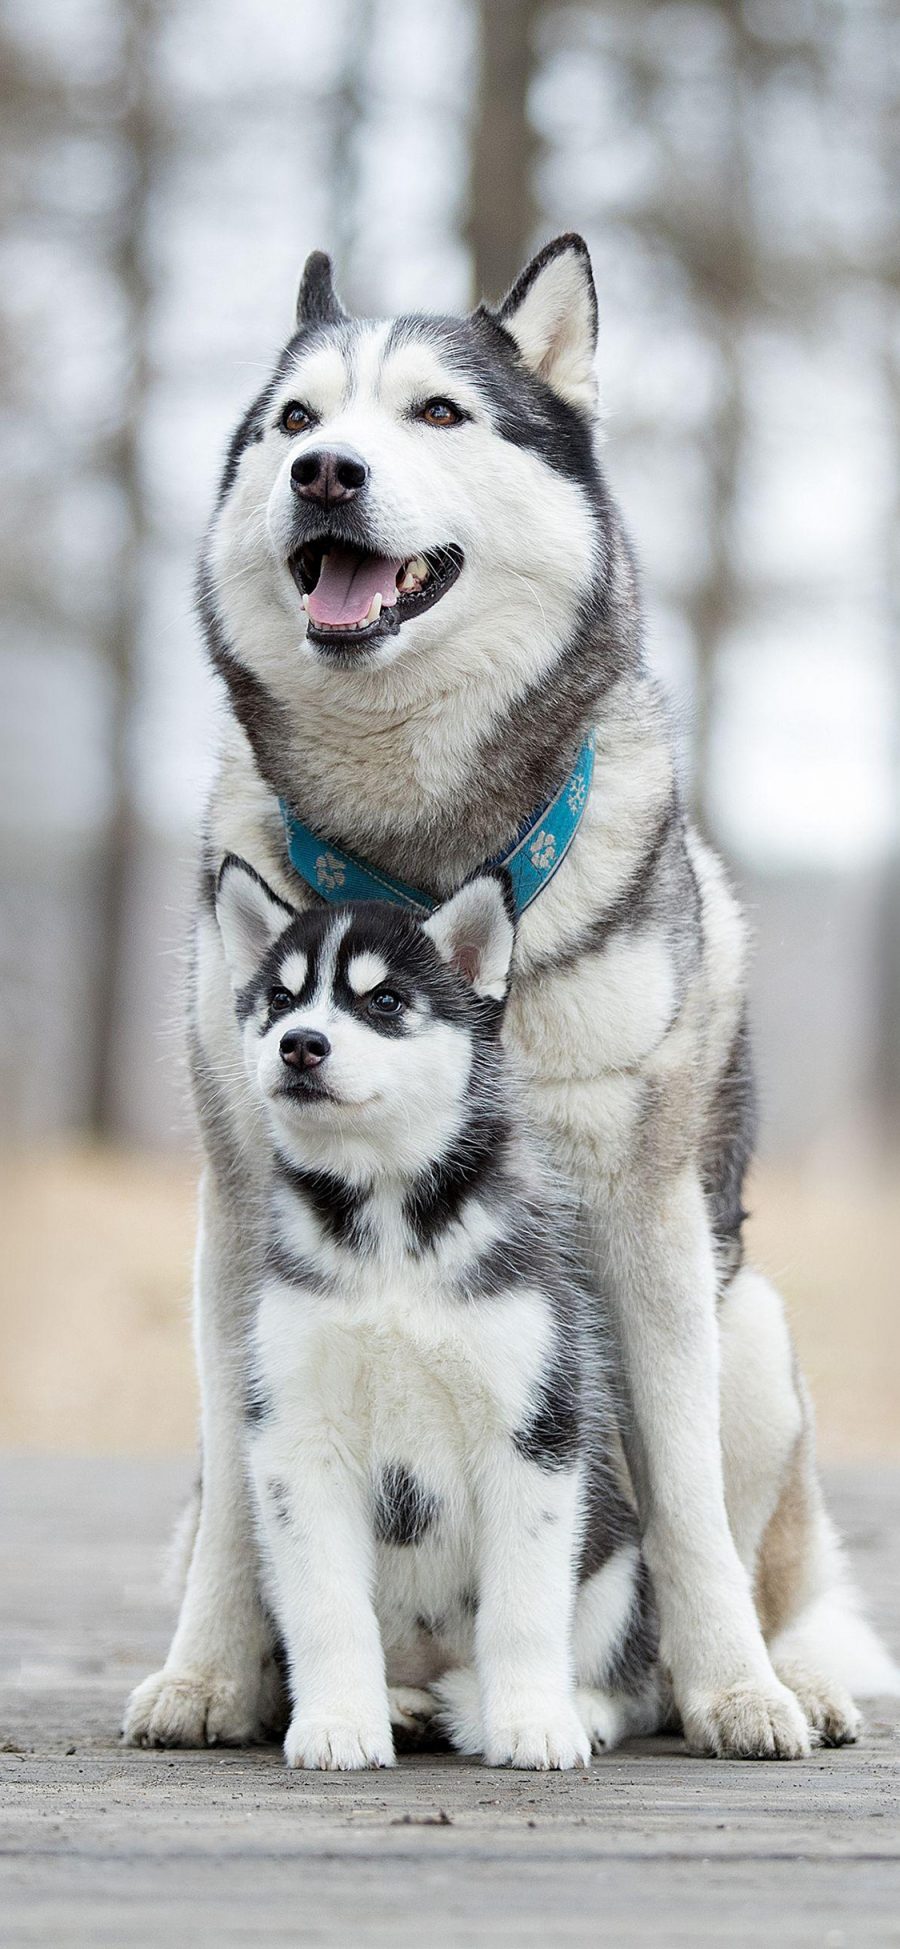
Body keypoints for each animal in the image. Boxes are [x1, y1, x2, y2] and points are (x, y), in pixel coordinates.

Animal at [211, 861, 662, 1777]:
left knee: (625, 1677)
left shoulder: (533, 1431)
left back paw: (576, 1707)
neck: (389, 1226)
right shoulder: (296, 1438)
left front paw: (532, 1723)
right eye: (280, 998)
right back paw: (402, 1703)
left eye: (384, 1002)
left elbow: (524, 1608)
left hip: (617, 1559)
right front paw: (339, 1722)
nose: (300, 1044)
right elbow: (328, 1606)